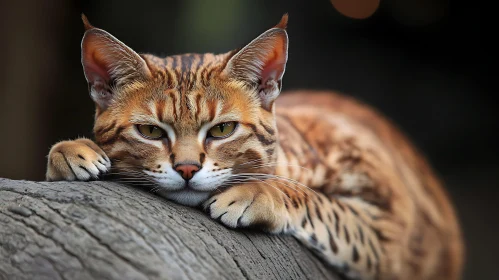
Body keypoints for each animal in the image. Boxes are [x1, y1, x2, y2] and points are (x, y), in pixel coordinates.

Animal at [46, 14, 464, 278]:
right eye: (150, 132)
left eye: (222, 129)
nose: (186, 169)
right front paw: (71, 150)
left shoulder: (392, 230)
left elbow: (317, 201)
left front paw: (259, 191)